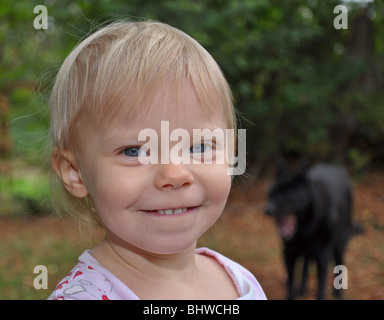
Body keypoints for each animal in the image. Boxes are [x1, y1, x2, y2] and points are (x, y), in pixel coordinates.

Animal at [266, 160, 362, 300]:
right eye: (272, 193)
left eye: (288, 193)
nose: (268, 209)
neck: (306, 230)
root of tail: (338, 169)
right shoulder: (288, 253)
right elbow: (290, 283)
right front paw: (294, 294)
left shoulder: (322, 256)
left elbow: (320, 287)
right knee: (305, 267)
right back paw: (302, 290)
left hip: (339, 244)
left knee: (339, 264)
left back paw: (337, 293)